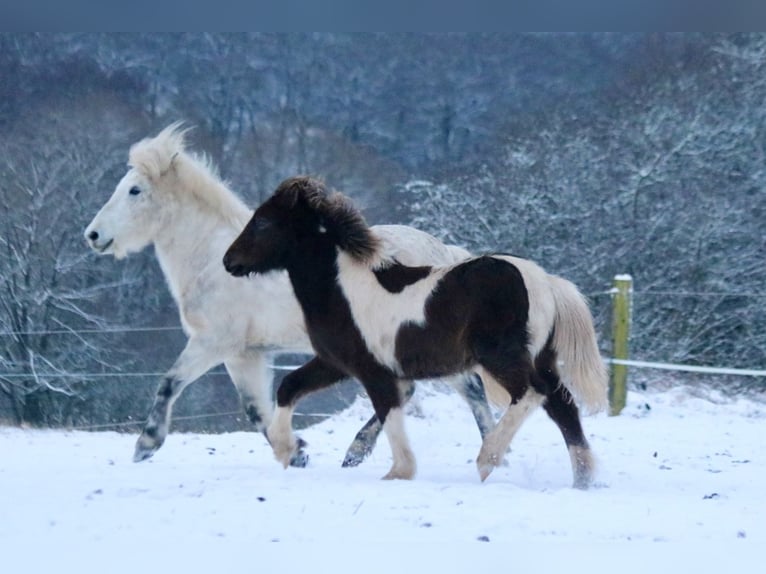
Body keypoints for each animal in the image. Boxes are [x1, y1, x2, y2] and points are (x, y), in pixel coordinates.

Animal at [83, 124, 496, 467]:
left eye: (134, 190)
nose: (93, 235)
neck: (212, 261)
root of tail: (445, 254)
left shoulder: (213, 342)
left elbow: (170, 383)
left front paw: (146, 445)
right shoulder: (244, 354)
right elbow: (256, 409)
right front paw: (296, 453)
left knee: (451, 390)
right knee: (441, 390)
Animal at [223, 176, 608, 487]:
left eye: (262, 221)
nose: (229, 261)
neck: (340, 288)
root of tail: (546, 281)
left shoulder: (372, 370)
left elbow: (389, 411)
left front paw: (397, 471)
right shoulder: (335, 363)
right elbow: (289, 386)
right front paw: (288, 451)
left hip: (501, 357)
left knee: (531, 392)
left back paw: (488, 459)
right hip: (541, 358)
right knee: (562, 405)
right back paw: (584, 479)